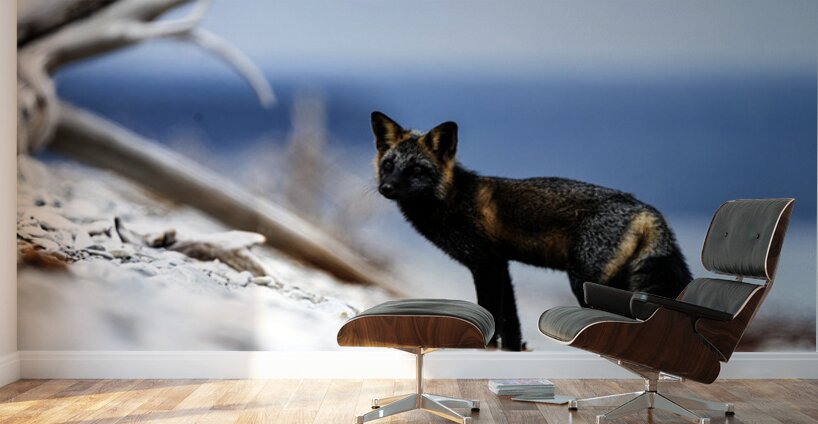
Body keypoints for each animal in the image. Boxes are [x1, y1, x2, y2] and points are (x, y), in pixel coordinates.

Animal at [371, 111, 692, 351]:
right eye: (389, 165)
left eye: (416, 169)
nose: (385, 188)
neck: (453, 199)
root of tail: (645, 208)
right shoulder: (501, 265)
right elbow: (511, 325)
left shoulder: (486, 264)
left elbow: (491, 317)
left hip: (585, 282)